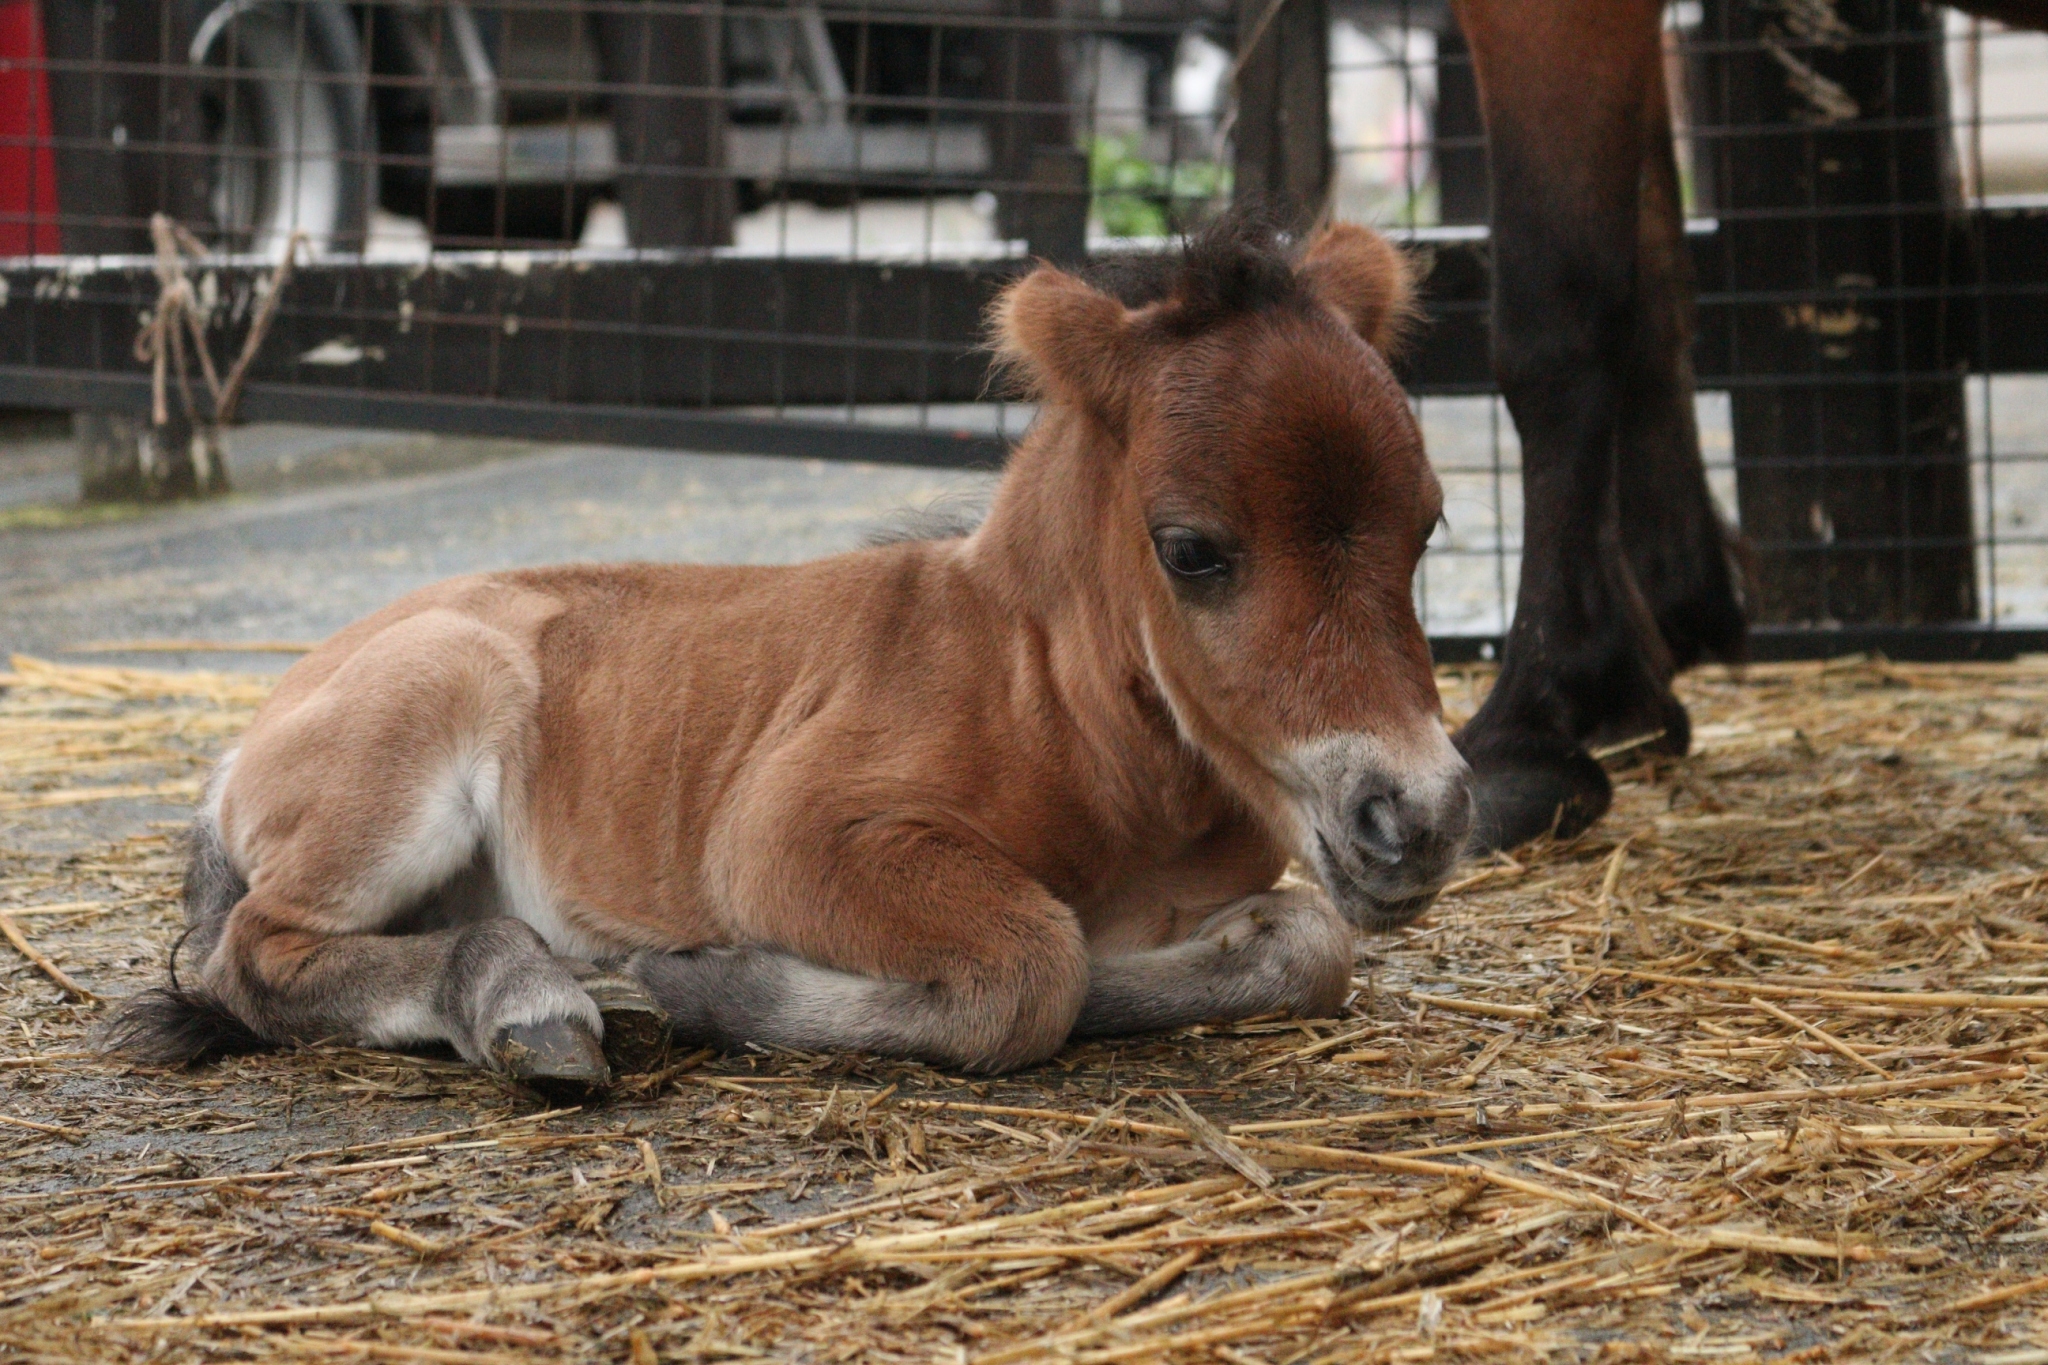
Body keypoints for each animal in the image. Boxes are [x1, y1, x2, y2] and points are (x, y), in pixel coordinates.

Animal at [108, 215, 1474, 1088]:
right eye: (1191, 550)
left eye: (1428, 525)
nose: (1415, 817)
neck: (1049, 699)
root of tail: (243, 748)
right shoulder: (790, 833)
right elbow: (1036, 965)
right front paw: (705, 984)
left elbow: (1300, 943)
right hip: (424, 714)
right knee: (256, 953)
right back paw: (543, 1002)